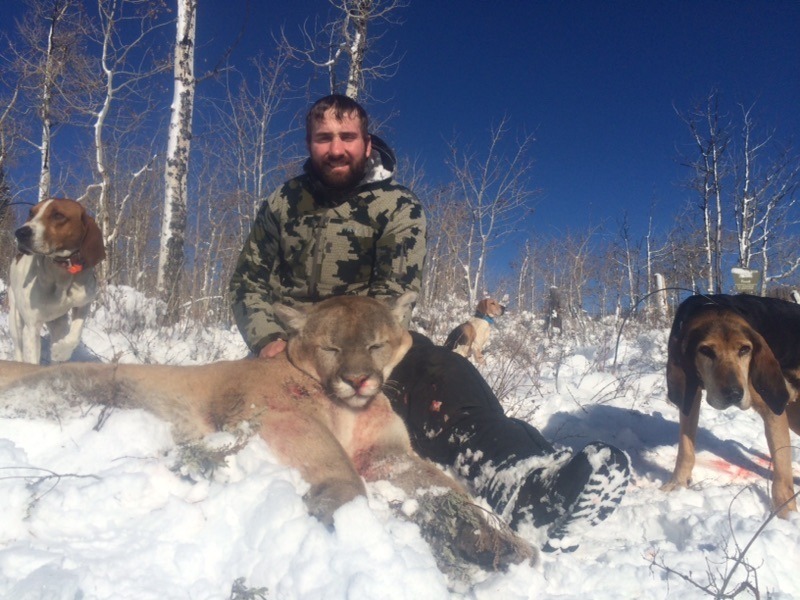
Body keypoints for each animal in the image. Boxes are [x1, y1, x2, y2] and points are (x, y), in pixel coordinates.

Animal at [8, 198, 106, 364]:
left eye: (58, 215)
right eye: (31, 213)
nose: (20, 232)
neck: (62, 272)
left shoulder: (83, 303)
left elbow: (75, 335)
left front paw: (60, 352)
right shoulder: (31, 328)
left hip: (58, 323)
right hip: (15, 320)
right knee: (18, 350)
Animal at [663, 293, 800, 517]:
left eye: (745, 349)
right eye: (706, 350)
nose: (734, 394)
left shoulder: (773, 409)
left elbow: (781, 473)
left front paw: (786, 515)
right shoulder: (690, 395)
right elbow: (685, 448)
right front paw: (677, 483)